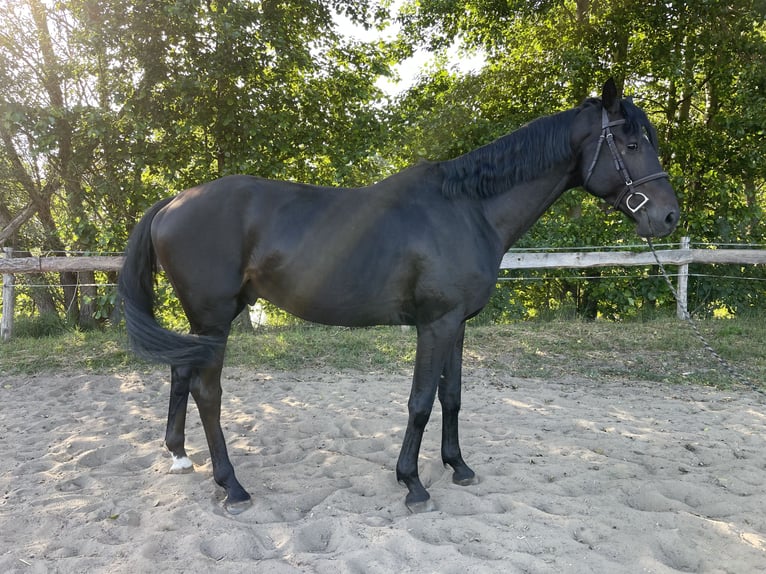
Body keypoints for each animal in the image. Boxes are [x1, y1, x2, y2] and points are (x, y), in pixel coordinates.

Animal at [117, 79, 680, 516]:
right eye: (631, 144)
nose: (669, 217)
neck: (468, 208)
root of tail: (173, 201)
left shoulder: (457, 324)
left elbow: (452, 397)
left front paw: (458, 466)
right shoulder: (435, 324)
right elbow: (421, 402)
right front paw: (412, 484)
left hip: (203, 321)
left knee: (180, 374)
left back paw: (180, 456)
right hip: (213, 319)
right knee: (206, 392)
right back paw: (232, 486)